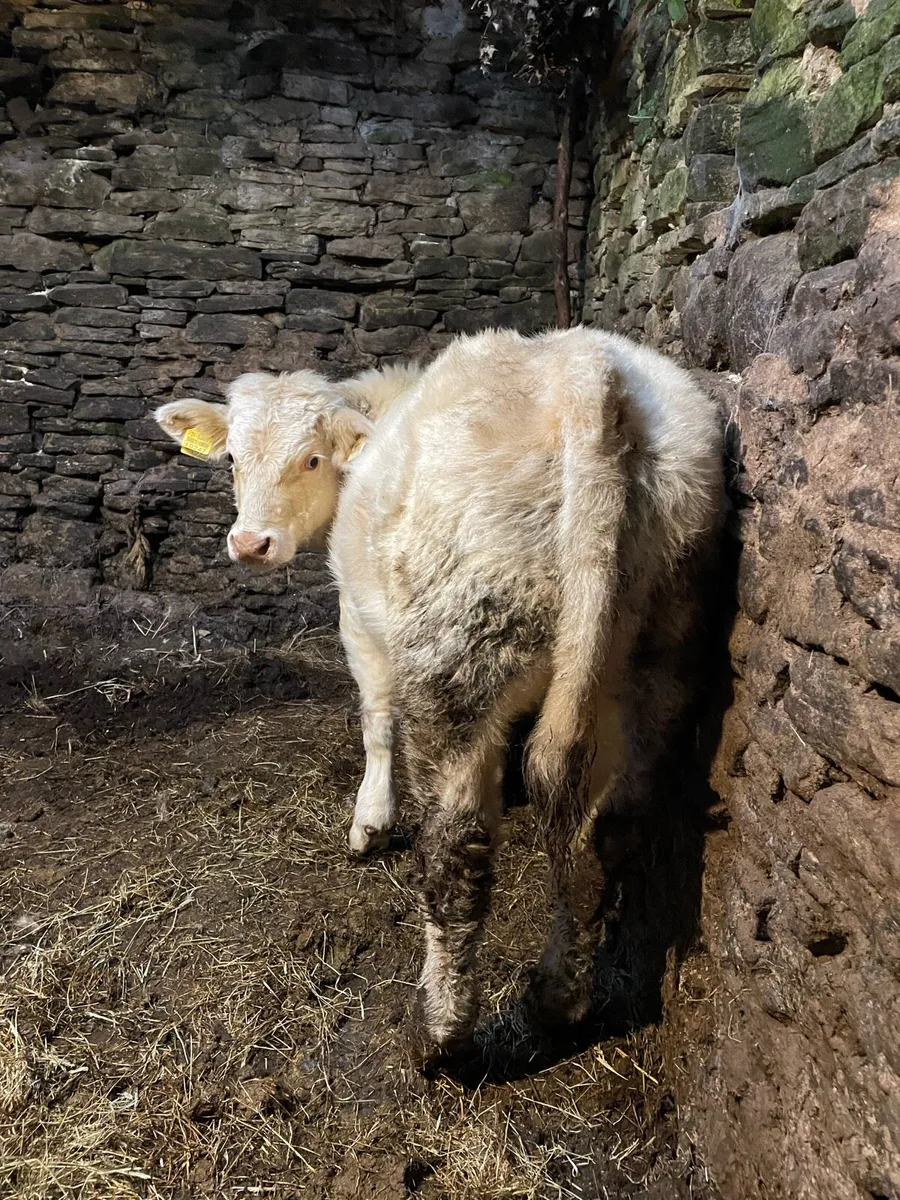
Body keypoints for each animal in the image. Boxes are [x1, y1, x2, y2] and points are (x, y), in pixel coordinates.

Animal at [155, 327, 723, 1056]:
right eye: (231, 458)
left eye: (311, 459)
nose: (250, 543)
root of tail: (583, 372)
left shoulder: (361, 623)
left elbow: (376, 722)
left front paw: (369, 821)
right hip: (659, 639)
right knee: (610, 819)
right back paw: (556, 997)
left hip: (456, 651)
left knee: (458, 841)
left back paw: (441, 1025)